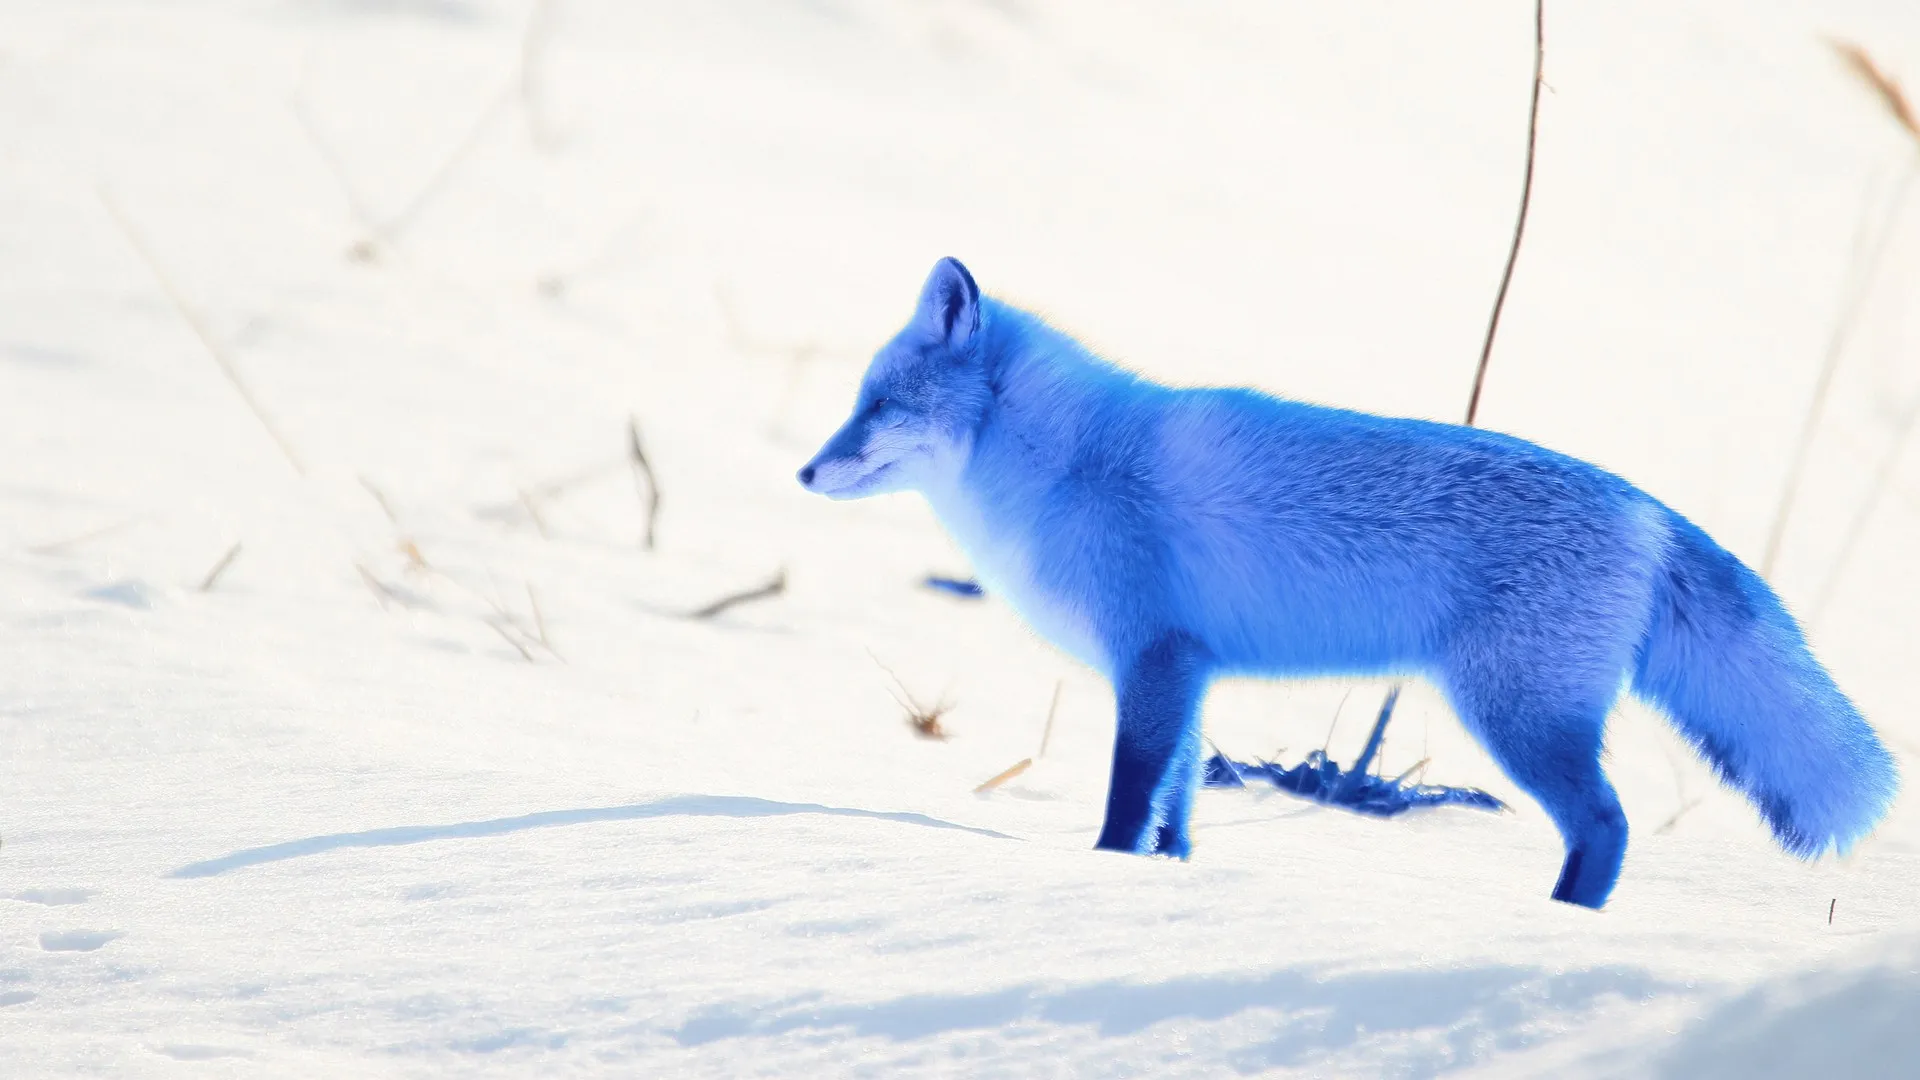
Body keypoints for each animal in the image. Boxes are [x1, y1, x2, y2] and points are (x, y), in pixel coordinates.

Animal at [797, 257, 1899, 909]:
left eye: (878, 406)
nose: (804, 474)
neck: (1066, 464)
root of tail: (1649, 509)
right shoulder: (1189, 670)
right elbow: (1180, 804)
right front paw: (1169, 886)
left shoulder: (1151, 659)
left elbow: (1129, 797)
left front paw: (1100, 876)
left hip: (1517, 716)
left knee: (1609, 827)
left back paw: (1561, 924)